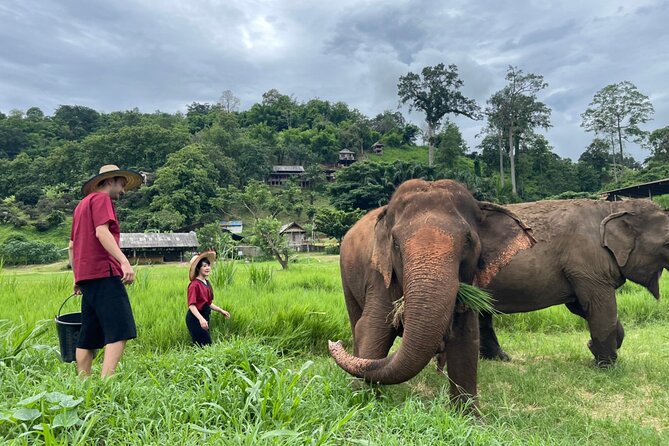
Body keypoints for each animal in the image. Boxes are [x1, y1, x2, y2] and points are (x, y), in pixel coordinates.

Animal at [328, 179, 535, 406]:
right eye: (395, 242)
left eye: (468, 240)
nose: (335, 343)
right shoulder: (380, 276)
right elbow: (372, 328)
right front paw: (361, 401)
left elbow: (466, 338)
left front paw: (468, 414)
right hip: (346, 275)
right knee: (356, 321)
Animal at [479, 198, 669, 367]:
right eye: (667, 243)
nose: (589, 343)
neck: (612, 207)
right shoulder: (587, 264)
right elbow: (600, 307)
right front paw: (606, 366)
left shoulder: (579, 271)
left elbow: (580, 306)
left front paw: (594, 348)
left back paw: (501, 359)